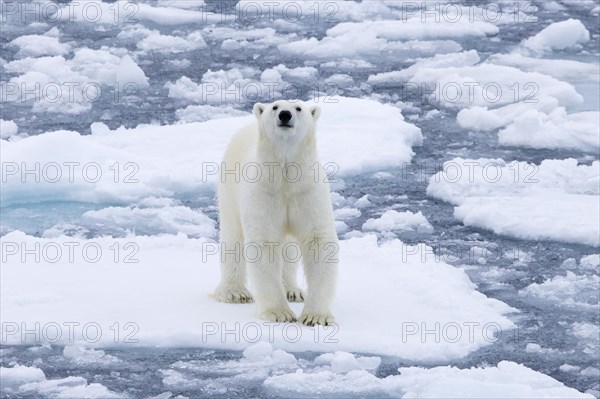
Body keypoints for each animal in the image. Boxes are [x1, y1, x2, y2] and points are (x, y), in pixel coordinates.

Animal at [214, 99, 338, 324]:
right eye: (275, 107)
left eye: (298, 108)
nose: (285, 115)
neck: (285, 177)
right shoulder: (264, 191)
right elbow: (264, 243)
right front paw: (279, 313)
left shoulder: (307, 190)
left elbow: (318, 241)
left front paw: (316, 317)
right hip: (229, 188)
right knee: (233, 236)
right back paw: (234, 292)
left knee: (288, 247)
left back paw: (292, 290)